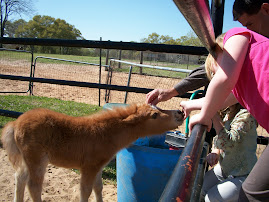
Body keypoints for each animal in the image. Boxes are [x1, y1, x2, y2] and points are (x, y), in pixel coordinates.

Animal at [1, 104, 183, 202]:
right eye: (154, 115)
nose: (180, 112)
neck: (106, 133)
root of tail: (15, 123)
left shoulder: (98, 167)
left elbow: (98, 188)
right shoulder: (89, 167)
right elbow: (85, 191)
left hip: (27, 160)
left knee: (19, 178)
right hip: (37, 160)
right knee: (33, 186)